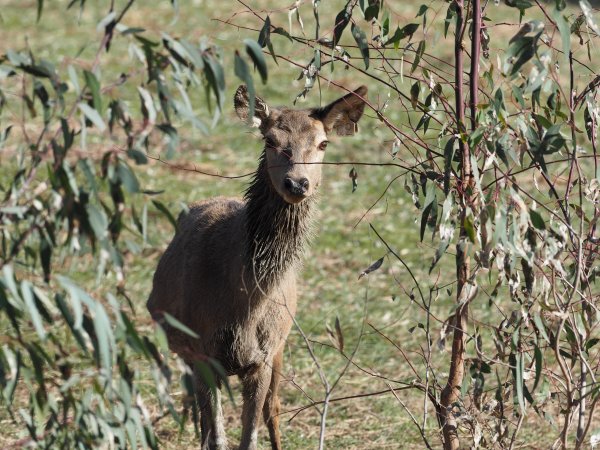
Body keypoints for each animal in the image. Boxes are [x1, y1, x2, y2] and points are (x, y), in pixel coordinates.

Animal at [148, 85, 368, 450]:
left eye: (323, 143)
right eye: (269, 140)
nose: (297, 183)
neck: (240, 305)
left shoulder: (262, 357)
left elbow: (249, 437)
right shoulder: (202, 355)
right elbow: (217, 439)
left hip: (281, 343)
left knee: (273, 409)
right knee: (199, 415)